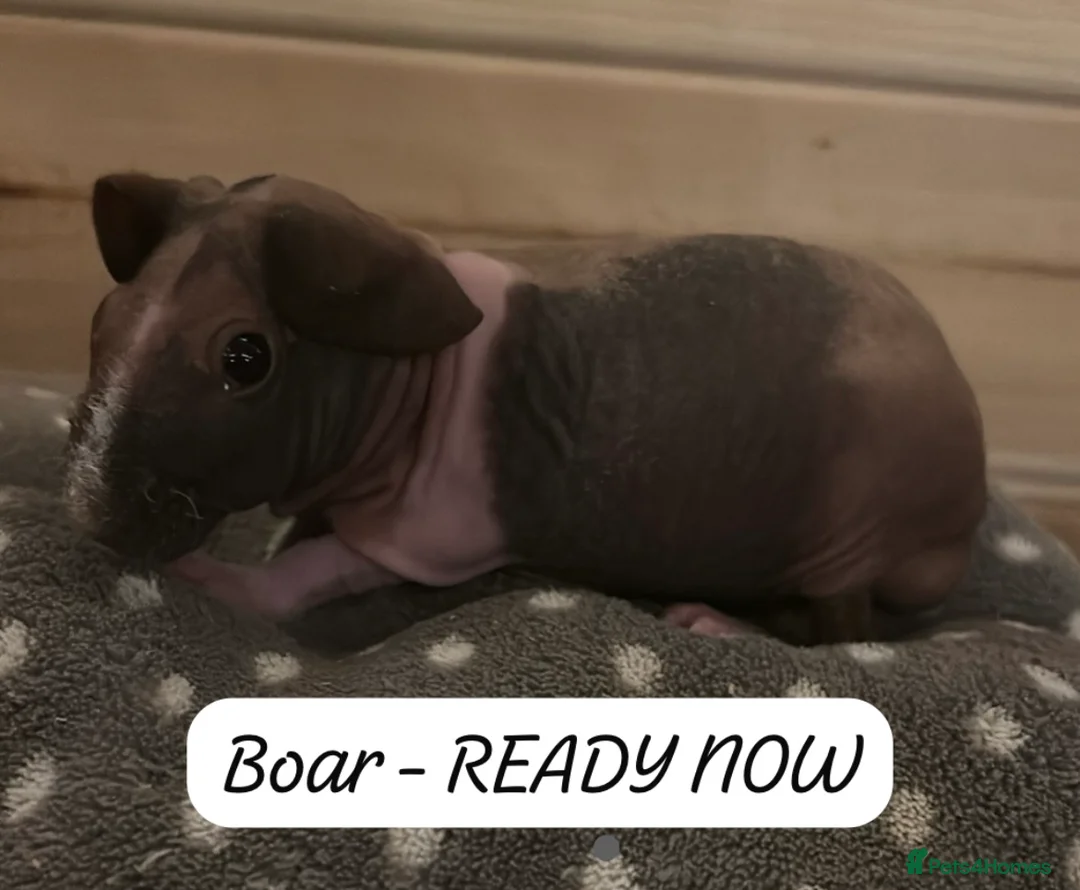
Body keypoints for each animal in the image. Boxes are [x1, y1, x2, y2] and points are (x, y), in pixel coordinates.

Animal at [62, 172, 987, 644]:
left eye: (244, 359)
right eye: (103, 319)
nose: (87, 518)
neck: (408, 376)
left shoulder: (431, 527)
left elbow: (311, 574)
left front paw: (222, 581)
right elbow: (308, 532)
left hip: (856, 522)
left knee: (843, 629)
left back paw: (724, 622)